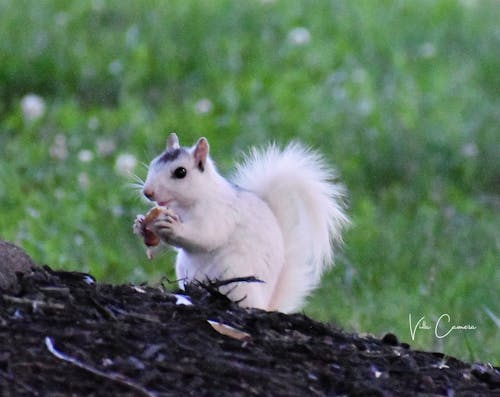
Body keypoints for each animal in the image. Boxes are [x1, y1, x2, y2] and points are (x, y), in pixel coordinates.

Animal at [135, 133, 350, 312]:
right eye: (153, 163)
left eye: (181, 172)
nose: (148, 192)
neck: (191, 200)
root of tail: (265, 304)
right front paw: (140, 225)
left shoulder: (219, 213)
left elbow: (206, 235)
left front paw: (172, 227)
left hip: (234, 275)